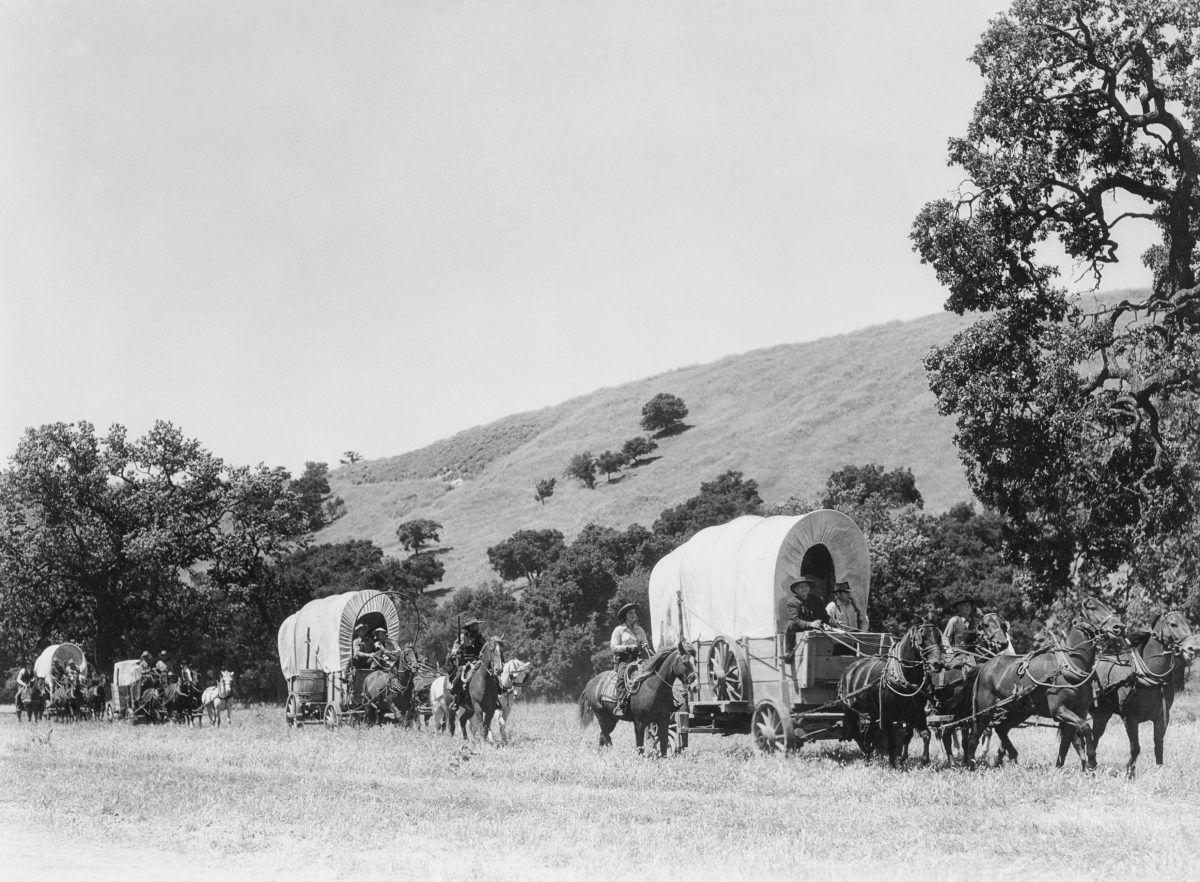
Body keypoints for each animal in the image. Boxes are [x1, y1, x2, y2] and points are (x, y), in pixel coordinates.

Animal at [840, 619, 940, 768]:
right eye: (922, 639)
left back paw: (869, 757)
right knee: (857, 733)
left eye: (939, 637)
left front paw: (923, 760)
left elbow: (924, 734)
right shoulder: (888, 714)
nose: (938, 663)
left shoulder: (916, 712)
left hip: (874, 712)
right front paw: (893, 764)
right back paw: (867, 755)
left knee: (869, 735)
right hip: (851, 711)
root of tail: (849, 669)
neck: (903, 677)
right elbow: (891, 739)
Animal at [964, 592, 1123, 772]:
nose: (1119, 626)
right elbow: (1085, 728)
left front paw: (1064, 767)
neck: (1069, 664)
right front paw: (1091, 761)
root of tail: (984, 666)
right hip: (985, 710)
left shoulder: (1079, 711)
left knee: (1001, 728)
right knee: (974, 737)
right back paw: (970, 765)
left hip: (1019, 710)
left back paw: (1012, 755)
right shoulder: (1059, 710)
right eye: (1092, 607)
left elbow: (1069, 742)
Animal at [1094, 609, 1195, 777]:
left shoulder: (1161, 717)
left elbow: (1158, 745)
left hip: (1102, 714)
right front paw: (1129, 773)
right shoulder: (1130, 718)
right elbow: (1135, 748)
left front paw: (1159, 772)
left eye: (1188, 622)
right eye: (1173, 624)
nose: (1194, 648)